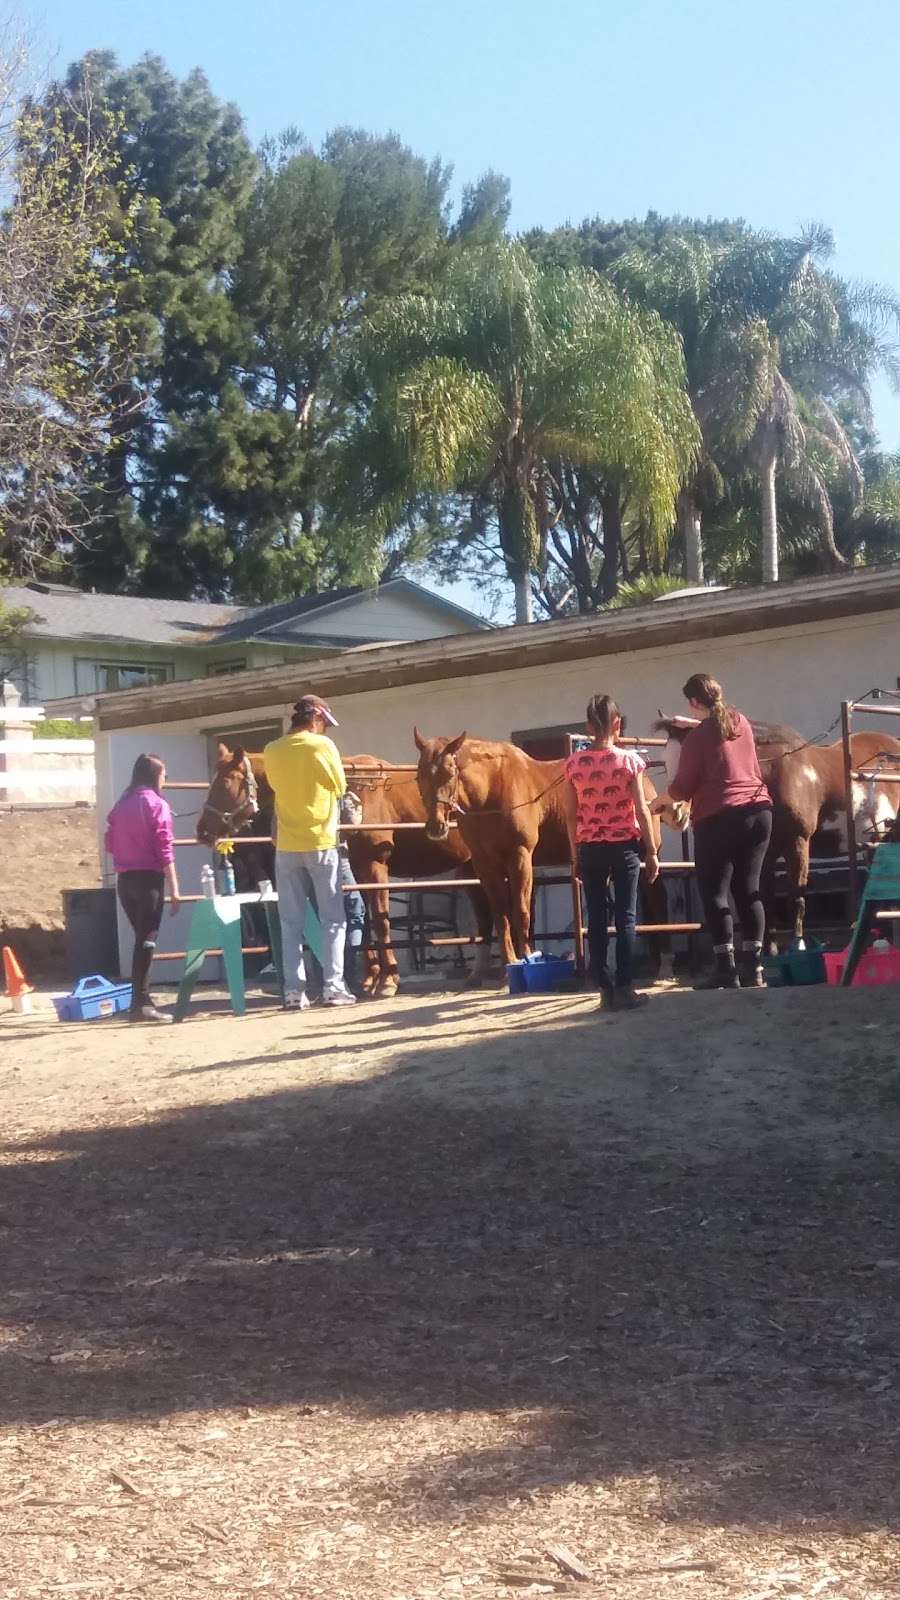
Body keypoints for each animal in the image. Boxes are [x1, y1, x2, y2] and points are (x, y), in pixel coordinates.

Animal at [196, 742, 490, 992]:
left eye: (225, 783)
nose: (202, 831)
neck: (354, 792)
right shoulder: (359, 870)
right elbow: (366, 921)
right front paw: (371, 978)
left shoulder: (375, 866)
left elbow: (380, 920)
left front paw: (388, 980)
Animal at [409, 732, 669, 966]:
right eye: (419, 776)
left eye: (450, 772)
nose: (435, 826)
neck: (492, 791)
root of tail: (644, 778)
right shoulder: (485, 863)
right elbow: (500, 913)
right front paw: (509, 962)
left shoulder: (520, 855)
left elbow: (522, 910)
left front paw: (526, 956)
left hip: (644, 854)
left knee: (655, 897)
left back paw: (660, 958)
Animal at [650, 716, 896, 947]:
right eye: (666, 761)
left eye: (695, 758)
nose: (672, 812)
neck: (779, 775)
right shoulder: (765, 854)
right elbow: (764, 902)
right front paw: (770, 951)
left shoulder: (798, 842)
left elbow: (796, 898)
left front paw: (798, 945)